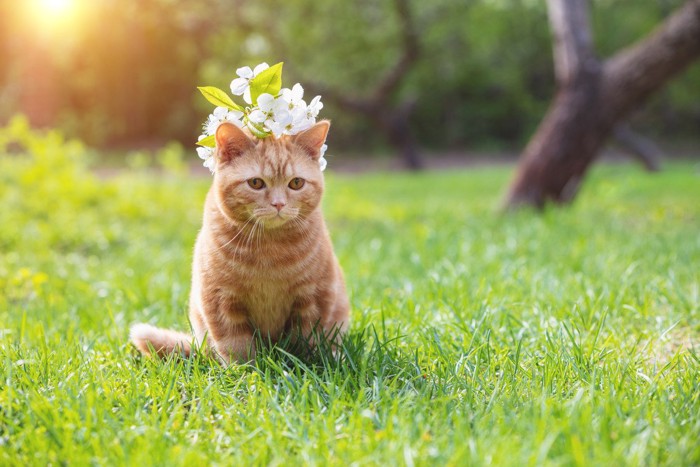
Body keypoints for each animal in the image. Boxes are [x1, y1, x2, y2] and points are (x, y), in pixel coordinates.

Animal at [130, 121, 348, 366]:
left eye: (296, 183)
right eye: (255, 183)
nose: (279, 204)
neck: (270, 249)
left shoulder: (314, 298)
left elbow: (305, 341)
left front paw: (304, 365)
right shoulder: (220, 300)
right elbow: (236, 345)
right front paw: (244, 371)